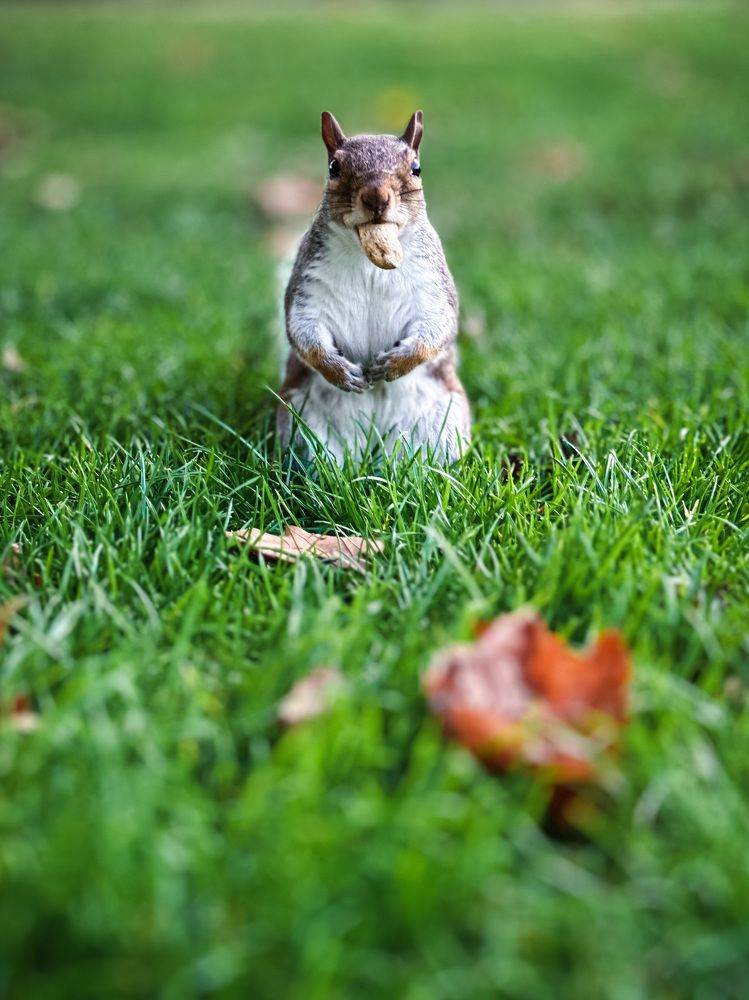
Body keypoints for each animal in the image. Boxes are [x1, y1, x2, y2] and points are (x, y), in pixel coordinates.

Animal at [277, 110, 471, 464]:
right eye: (333, 167)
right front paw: (339, 371)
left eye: (416, 168)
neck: (370, 262)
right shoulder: (307, 287)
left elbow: (438, 327)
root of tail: (372, 439)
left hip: (441, 423)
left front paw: (395, 364)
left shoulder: (432, 287)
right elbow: (303, 330)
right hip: (303, 421)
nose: (376, 198)